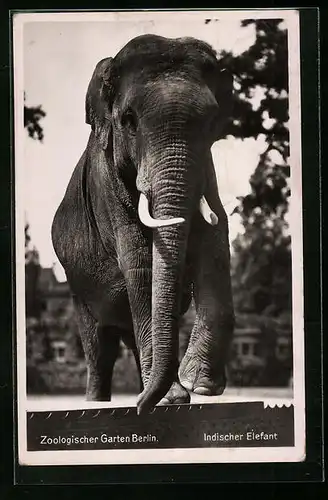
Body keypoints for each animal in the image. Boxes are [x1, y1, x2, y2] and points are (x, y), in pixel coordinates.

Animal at [51, 32, 234, 414]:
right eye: (129, 119)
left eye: (213, 122)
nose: (138, 407)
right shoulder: (106, 183)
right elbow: (138, 259)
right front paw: (174, 396)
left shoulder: (206, 169)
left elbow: (215, 239)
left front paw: (200, 387)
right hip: (78, 291)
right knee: (99, 350)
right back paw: (106, 401)